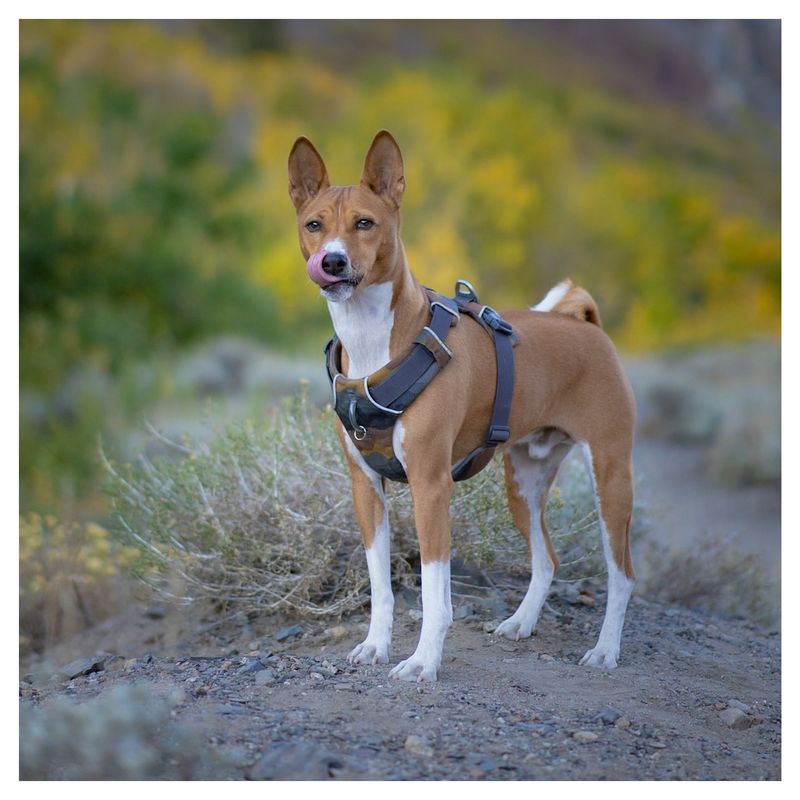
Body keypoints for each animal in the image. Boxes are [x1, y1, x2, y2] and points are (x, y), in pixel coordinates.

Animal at [290, 131, 636, 680]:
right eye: (314, 225)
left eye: (365, 223)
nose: (333, 261)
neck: (373, 341)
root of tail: (587, 325)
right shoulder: (366, 488)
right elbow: (381, 587)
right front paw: (376, 645)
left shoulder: (431, 485)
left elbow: (436, 596)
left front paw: (422, 663)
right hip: (524, 483)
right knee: (547, 560)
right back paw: (520, 623)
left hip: (610, 478)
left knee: (622, 575)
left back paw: (605, 651)